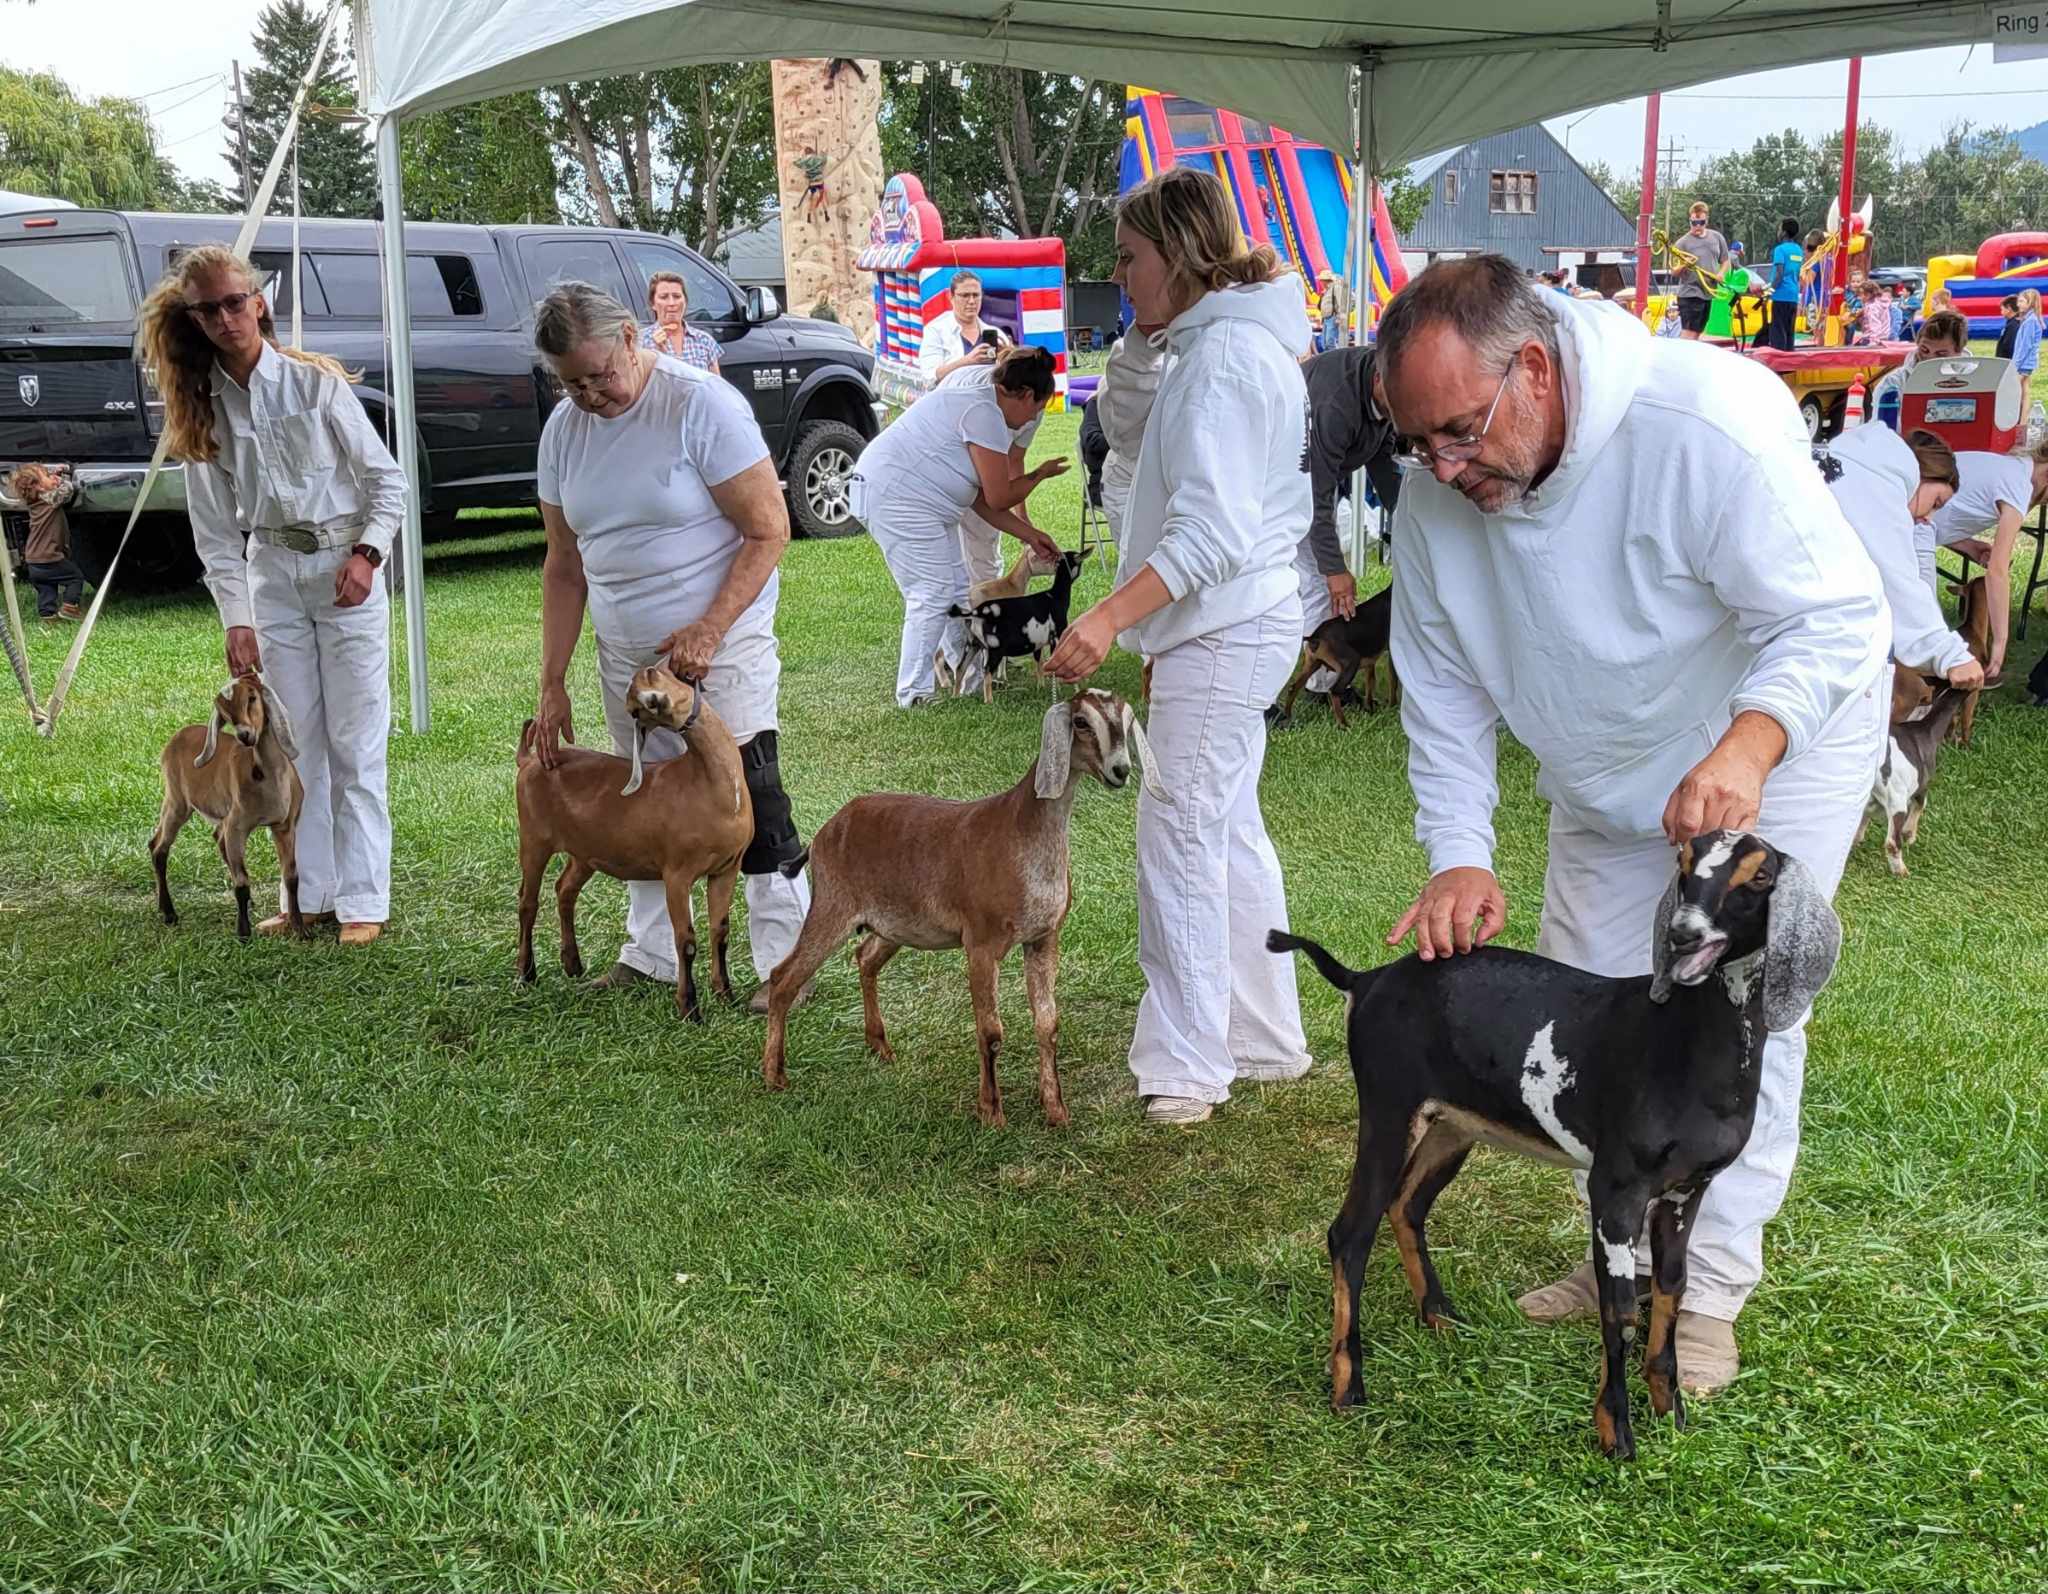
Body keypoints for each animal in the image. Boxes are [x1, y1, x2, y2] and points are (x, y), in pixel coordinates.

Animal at [151, 667, 303, 938]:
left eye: (252, 698)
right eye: (224, 714)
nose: (245, 736)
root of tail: (178, 735)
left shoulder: (284, 826)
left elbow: (291, 876)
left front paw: (300, 929)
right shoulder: (237, 825)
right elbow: (242, 883)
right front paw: (243, 933)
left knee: (206, 839)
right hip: (177, 800)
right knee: (159, 848)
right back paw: (169, 913)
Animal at [516, 659, 757, 1020]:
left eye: (653, 672)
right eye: (634, 710)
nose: (655, 700)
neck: (709, 785)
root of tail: (530, 760)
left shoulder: (727, 868)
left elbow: (721, 931)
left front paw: (726, 995)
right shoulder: (677, 873)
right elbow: (686, 941)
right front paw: (690, 1009)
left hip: (584, 853)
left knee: (565, 889)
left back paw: (573, 964)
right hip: (533, 841)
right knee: (527, 902)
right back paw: (525, 974)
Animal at [757, 688, 1171, 1122]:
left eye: (1125, 722)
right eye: (1081, 722)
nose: (1120, 770)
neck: (1019, 829)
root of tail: (824, 834)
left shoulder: (1043, 938)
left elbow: (1048, 1023)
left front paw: (1056, 1110)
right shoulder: (982, 943)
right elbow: (990, 1032)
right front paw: (991, 1112)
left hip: (894, 921)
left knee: (865, 957)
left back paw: (879, 1045)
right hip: (832, 904)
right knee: (783, 977)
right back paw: (774, 1074)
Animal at [946, 549, 1089, 700]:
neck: (1055, 596)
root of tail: (976, 612)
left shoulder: (1037, 642)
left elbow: (1039, 663)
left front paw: (1041, 687)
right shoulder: (1056, 638)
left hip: (972, 643)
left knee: (960, 668)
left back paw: (955, 697)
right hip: (994, 647)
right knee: (986, 671)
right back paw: (989, 701)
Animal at [1269, 827, 1851, 1458]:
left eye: (1760, 877)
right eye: (1684, 863)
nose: (1683, 933)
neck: (1682, 1044)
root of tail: (1368, 979)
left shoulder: (1684, 1193)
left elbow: (1671, 1288)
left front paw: (1670, 1414)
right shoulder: (1617, 1189)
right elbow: (1619, 1311)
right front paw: (1617, 1433)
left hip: (1452, 1125)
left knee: (1407, 1206)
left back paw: (1441, 1316)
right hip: (1389, 1113)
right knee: (1350, 1233)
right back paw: (1349, 1383)